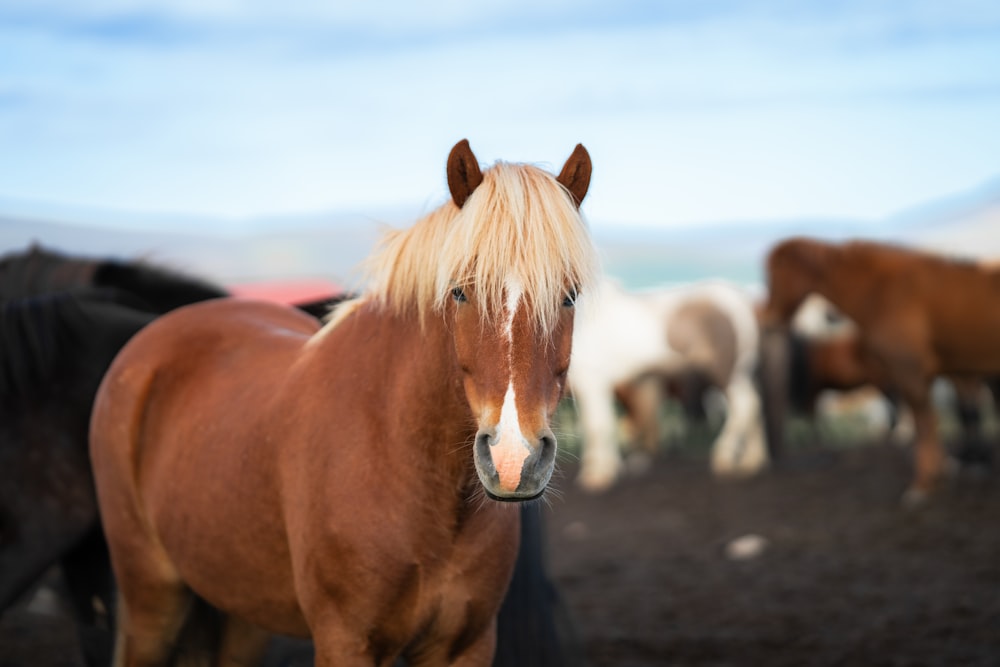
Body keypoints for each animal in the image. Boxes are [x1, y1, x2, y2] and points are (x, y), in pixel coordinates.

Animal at [86, 138, 596, 664]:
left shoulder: (466, 645)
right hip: (150, 599)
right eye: (459, 292)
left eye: (570, 296)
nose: (514, 460)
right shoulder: (344, 640)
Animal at [756, 237, 1000, 504]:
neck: (885, 293)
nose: (767, 318)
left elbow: (926, 425)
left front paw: (924, 484)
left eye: (773, 274)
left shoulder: (912, 373)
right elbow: (941, 420)